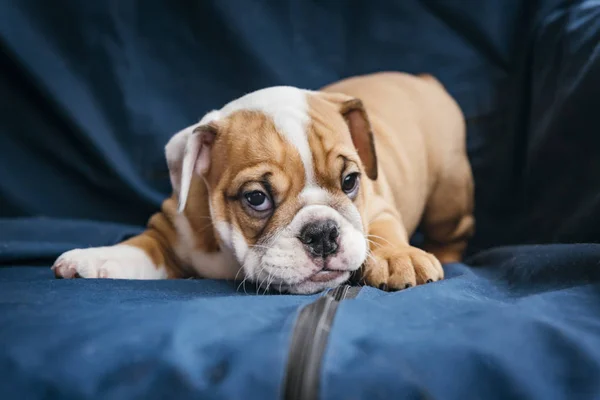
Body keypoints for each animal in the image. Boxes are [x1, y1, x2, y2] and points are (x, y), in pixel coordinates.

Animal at [52, 72, 474, 294]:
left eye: (351, 180)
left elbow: (383, 230)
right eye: (256, 198)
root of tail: (423, 79)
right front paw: (93, 258)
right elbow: (140, 247)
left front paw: (398, 257)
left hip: (450, 195)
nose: (322, 233)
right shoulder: (169, 233)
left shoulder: (379, 204)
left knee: (453, 231)